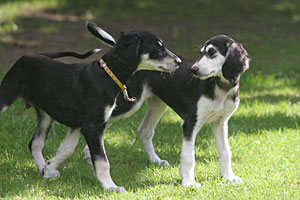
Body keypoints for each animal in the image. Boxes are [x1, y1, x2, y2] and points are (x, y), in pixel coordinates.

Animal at [0, 22, 180, 192]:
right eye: (157, 47)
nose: (178, 62)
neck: (107, 75)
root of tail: (28, 55)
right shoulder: (92, 127)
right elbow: (102, 160)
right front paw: (111, 187)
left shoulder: (80, 125)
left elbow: (67, 149)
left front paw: (48, 169)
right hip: (6, 96)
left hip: (45, 115)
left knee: (35, 143)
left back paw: (41, 167)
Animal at [83, 25, 250, 188]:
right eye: (201, 53)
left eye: (212, 53)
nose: (193, 70)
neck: (220, 88)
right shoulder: (190, 123)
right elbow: (189, 156)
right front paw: (189, 182)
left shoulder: (220, 123)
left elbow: (225, 152)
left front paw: (228, 177)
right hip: (128, 105)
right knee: (100, 125)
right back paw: (88, 155)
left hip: (158, 105)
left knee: (144, 131)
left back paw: (155, 161)